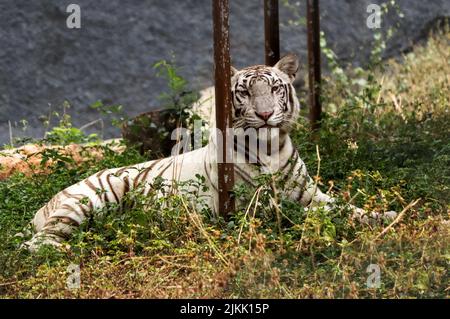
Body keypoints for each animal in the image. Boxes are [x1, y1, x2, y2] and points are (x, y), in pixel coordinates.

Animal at [22, 55, 396, 255]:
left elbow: (344, 207)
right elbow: (303, 215)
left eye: (275, 87)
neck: (271, 149)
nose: (264, 115)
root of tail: (45, 204)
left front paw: (385, 215)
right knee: (37, 243)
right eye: (245, 92)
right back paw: (70, 249)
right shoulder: (253, 206)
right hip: (84, 203)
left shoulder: (310, 193)